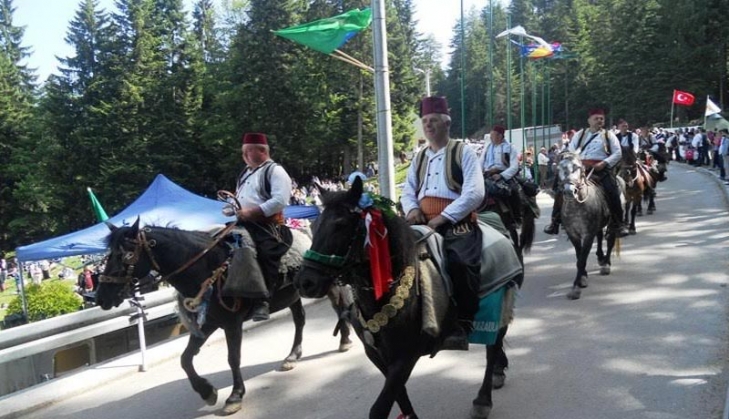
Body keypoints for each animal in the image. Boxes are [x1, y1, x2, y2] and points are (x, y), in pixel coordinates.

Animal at [292, 176, 520, 419]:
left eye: (340, 225)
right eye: (313, 226)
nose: (305, 282)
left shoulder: (406, 356)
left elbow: (380, 408)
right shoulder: (377, 355)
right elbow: (400, 395)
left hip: (502, 305)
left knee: (492, 349)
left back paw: (483, 399)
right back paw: (499, 372)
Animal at [556, 153, 616, 300]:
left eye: (577, 167)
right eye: (559, 168)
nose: (569, 191)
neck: (577, 206)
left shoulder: (588, 234)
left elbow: (582, 259)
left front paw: (576, 288)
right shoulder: (573, 234)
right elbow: (579, 257)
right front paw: (583, 278)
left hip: (613, 221)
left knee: (610, 240)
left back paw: (606, 264)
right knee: (600, 236)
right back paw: (600, 257)